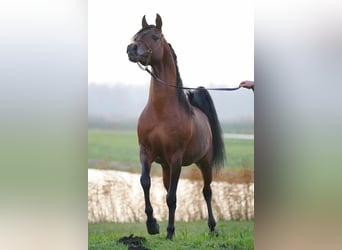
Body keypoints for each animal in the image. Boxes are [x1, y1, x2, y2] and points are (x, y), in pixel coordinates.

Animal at [127, 14, 226, 240]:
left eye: (155, 37)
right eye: (136, 35)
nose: (131, 48)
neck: (161, 111)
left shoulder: (176, 158)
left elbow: (172, 197)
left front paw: (170, 232)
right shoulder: (146, 152)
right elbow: (145, 183)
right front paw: (152, 225)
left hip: (204, 163)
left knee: (207, 192)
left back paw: (212, 227)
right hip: (166, 166)